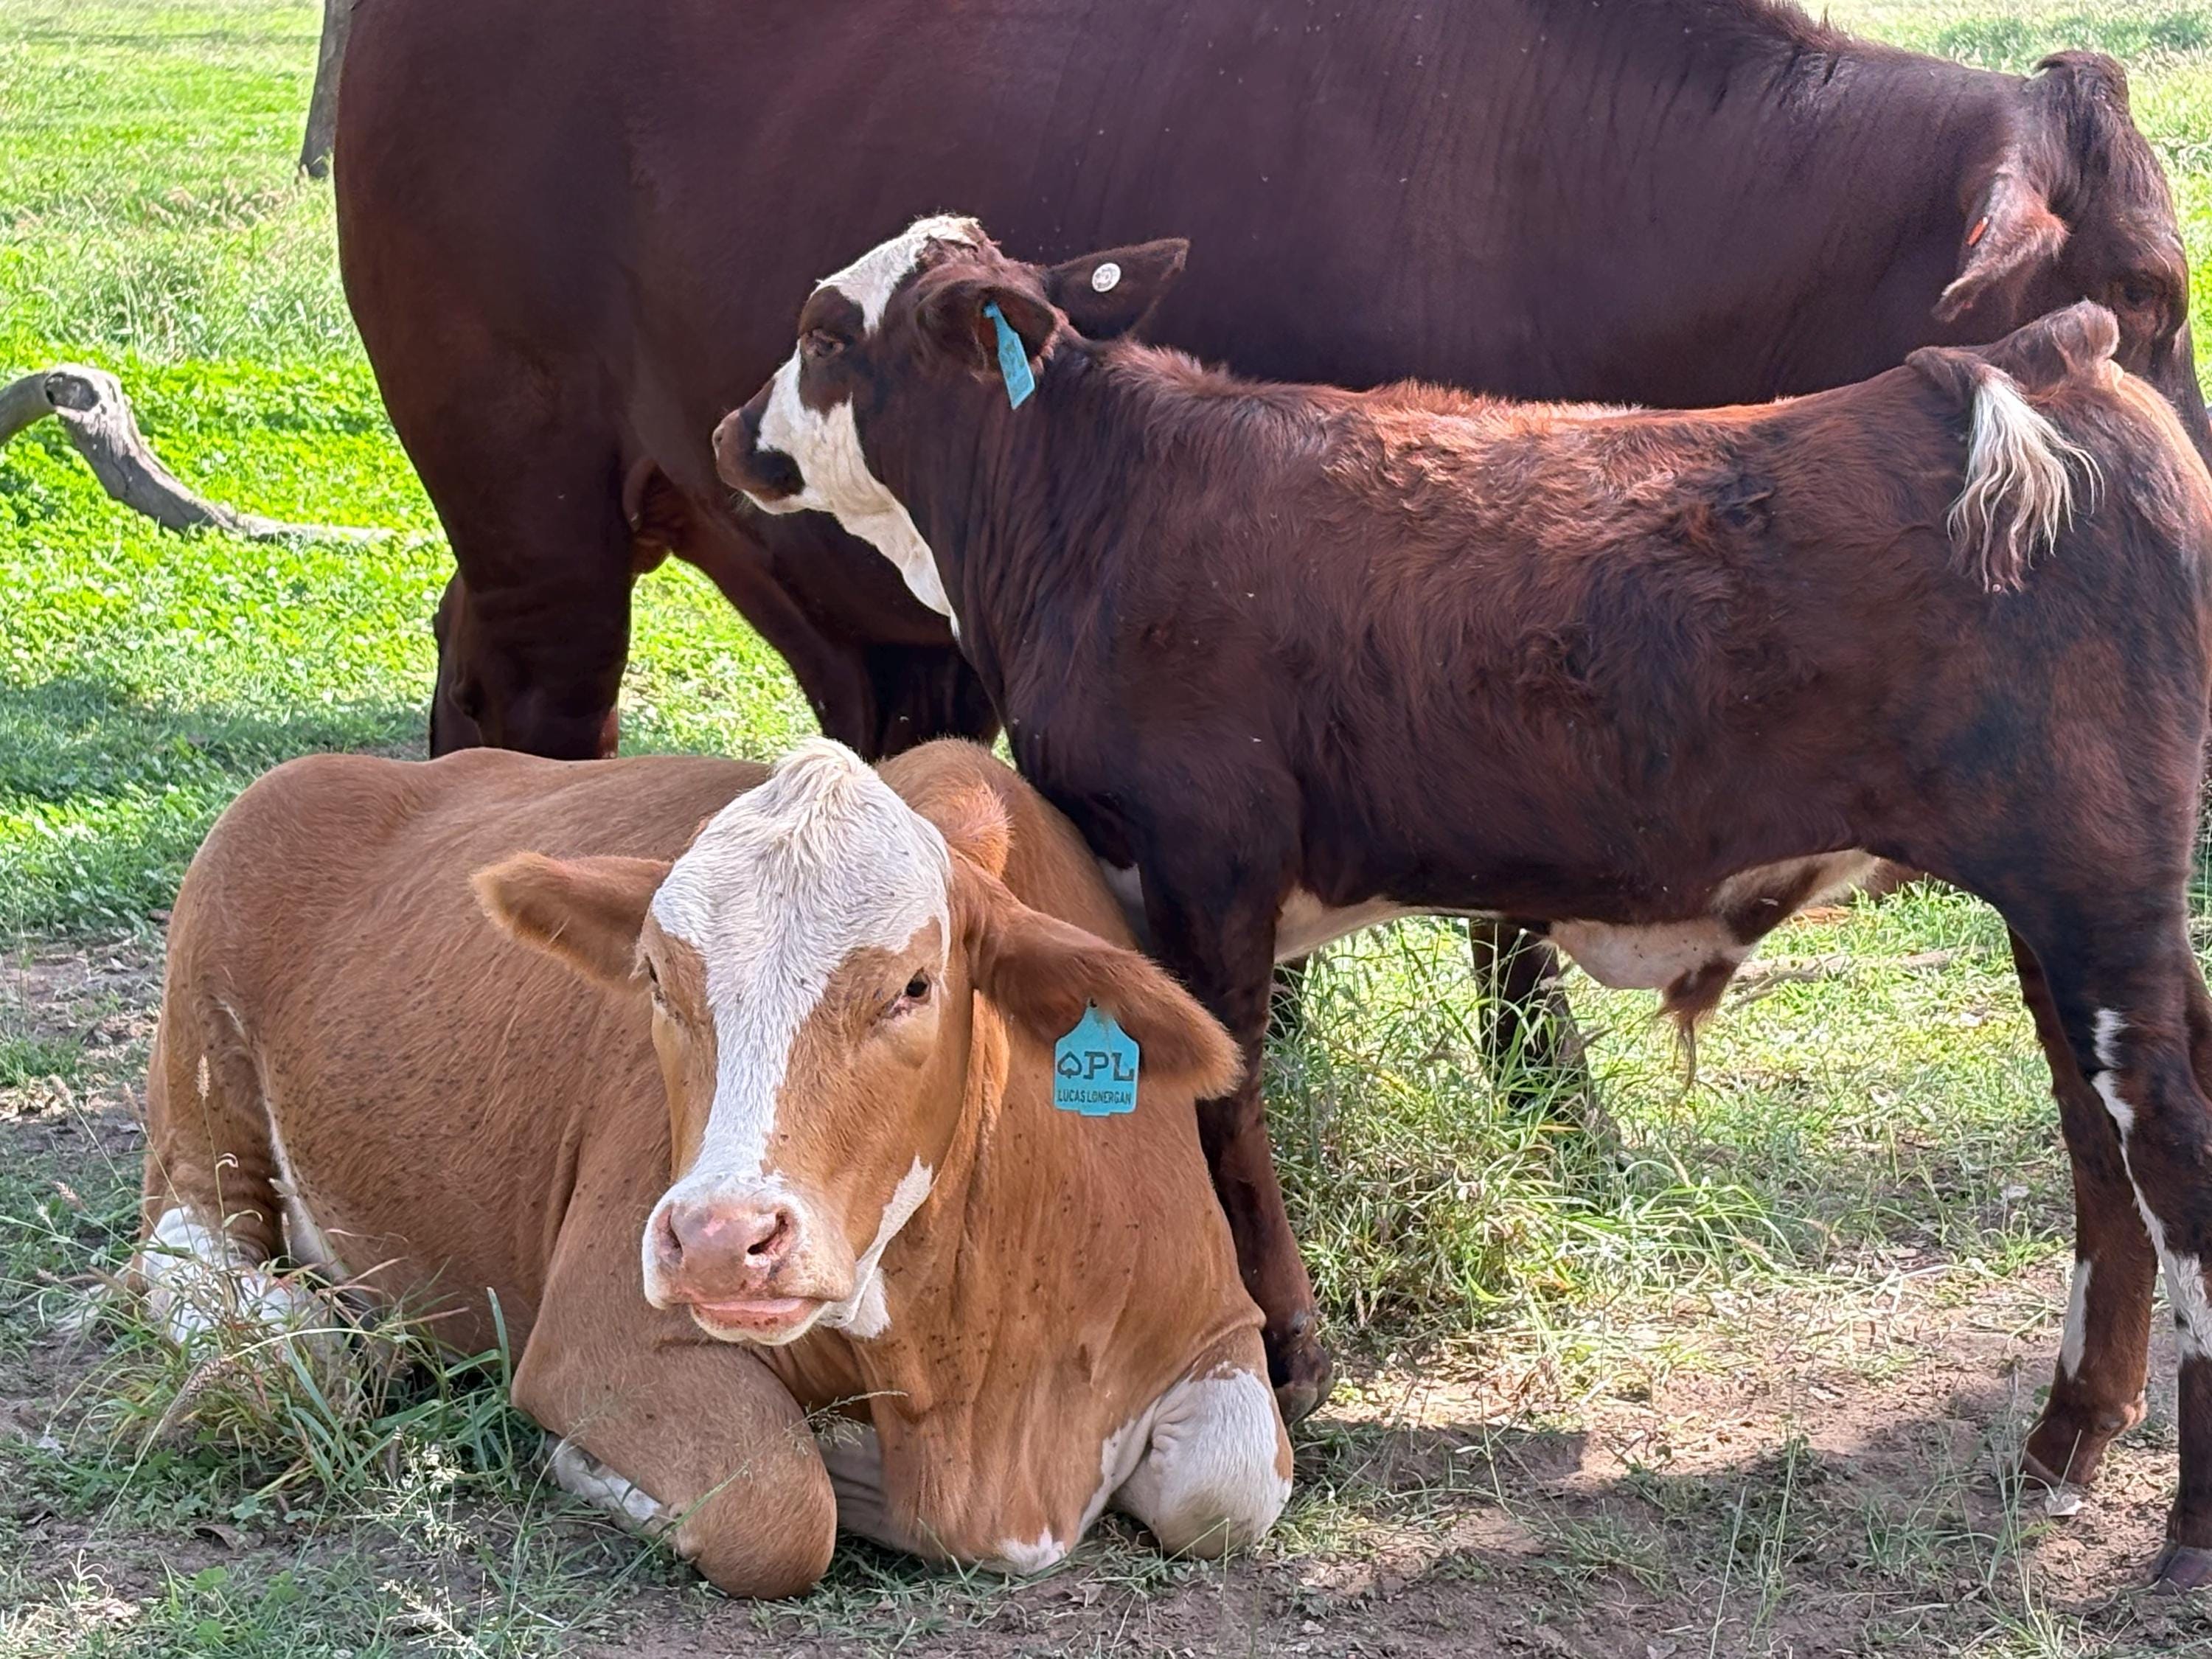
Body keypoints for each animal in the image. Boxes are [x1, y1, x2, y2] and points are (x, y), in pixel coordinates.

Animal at [131, 739, 1291, 1595]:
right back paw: (306, 1334)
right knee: (187, 1252)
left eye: (915, 986)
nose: (722, 1241)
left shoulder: (1216, 1322)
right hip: (200, 1090)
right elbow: (775, 1502)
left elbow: (1230, 1491)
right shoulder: (593, 1332)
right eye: (654, 976)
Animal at [714, 217, 2212, 1585]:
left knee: (2169, 1150)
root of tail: (2033, 358)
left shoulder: (1207, 864)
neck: (1098, 502)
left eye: (824, 335)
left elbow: (1224, 1105)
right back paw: (2069, 1435)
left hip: (2096, 893)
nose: (733, 429)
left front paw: (1291, 1349)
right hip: (2059, 905)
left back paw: (2184, 1531)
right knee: (2097, 1146)